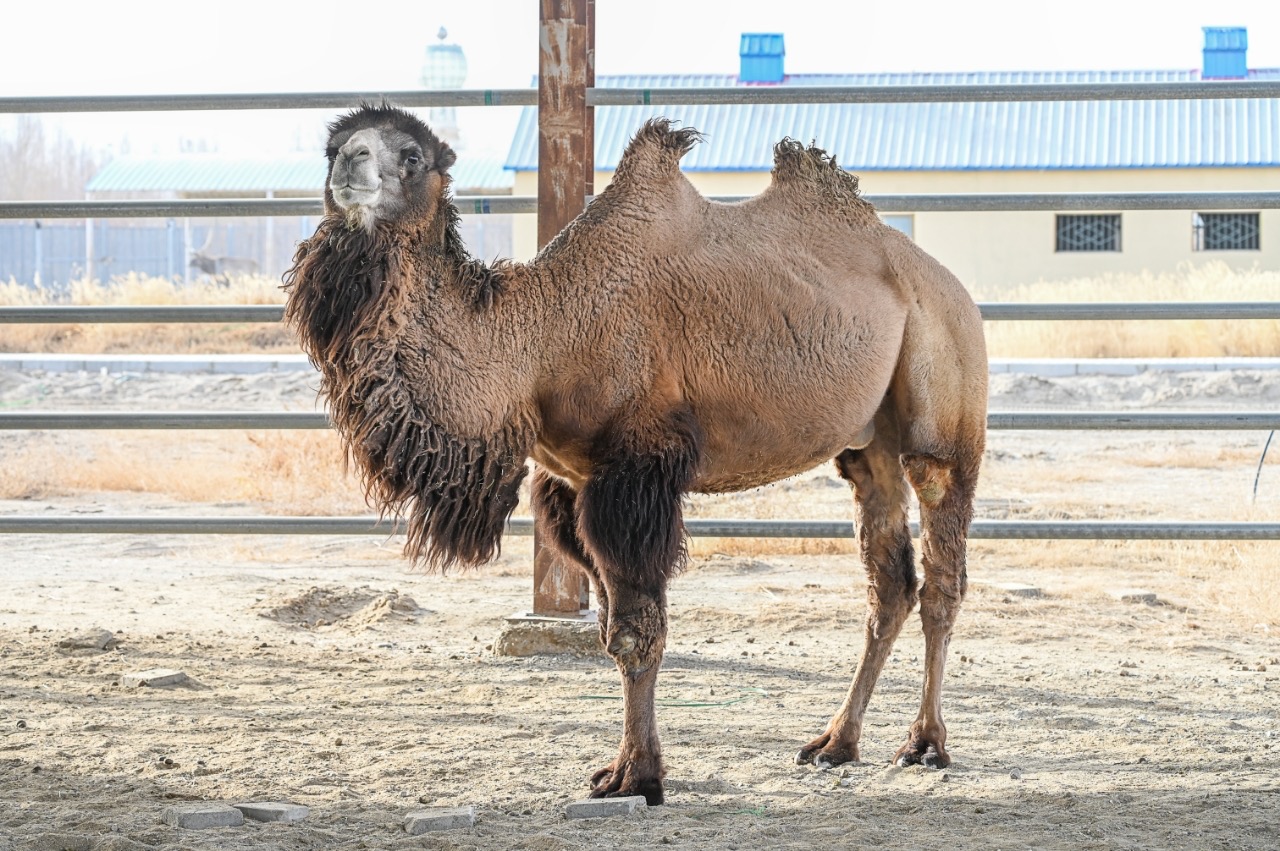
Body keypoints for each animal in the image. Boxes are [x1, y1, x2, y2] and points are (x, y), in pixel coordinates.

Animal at [283, 103, 988, 806]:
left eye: (411, 156)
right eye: (333, 147)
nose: (351, 164)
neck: (538, 342)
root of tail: (949, 284)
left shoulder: (636, 473)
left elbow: (635, 633)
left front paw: (637, 776)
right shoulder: (571, 482)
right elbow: (609, 629)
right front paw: (628, 767)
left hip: (944, 399)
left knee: (941, 574)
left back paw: (926, 743)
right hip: (868, 445)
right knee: (889, 583)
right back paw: (836, 743)